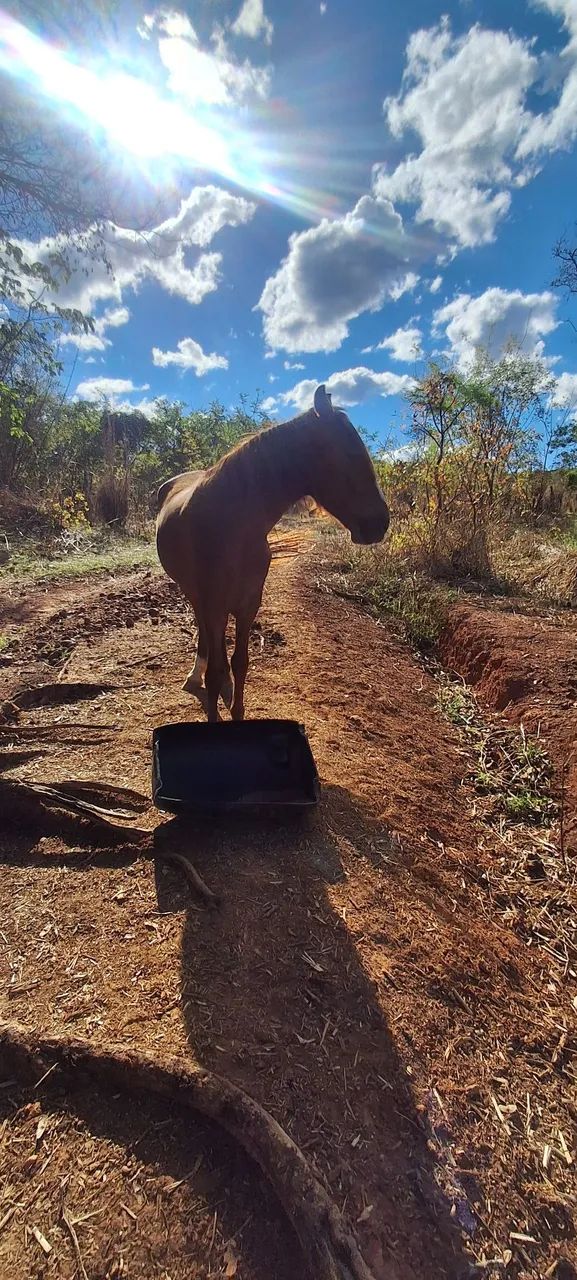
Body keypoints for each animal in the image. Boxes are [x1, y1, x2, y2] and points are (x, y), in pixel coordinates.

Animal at [156, 384, 389, 722]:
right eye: (351, 454)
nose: (381, 523)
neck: (231, 526)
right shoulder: (214, 603)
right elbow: (215, 669)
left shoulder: (248, 604)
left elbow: (240, 662)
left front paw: (236, 708)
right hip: (197, 596)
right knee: (206, 637)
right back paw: (195, 674)